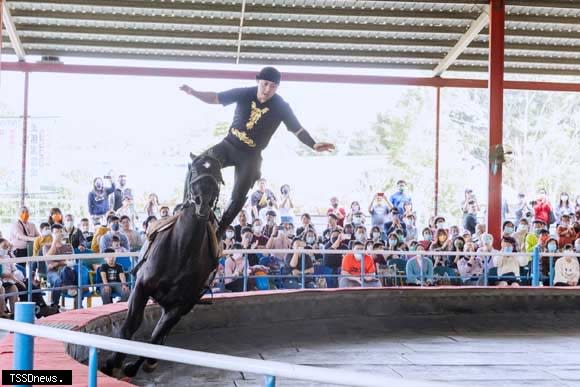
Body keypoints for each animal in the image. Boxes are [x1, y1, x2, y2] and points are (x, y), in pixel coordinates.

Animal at [103, 155, 223, 378]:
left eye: (218, 175)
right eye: (194, 170)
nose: (203, 201)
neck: (181, 250)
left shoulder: (181, 305)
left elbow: (155, 337)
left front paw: (134, 366)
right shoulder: (141, 287)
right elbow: (131, 325)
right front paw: (113, 362)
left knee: (160, 334)